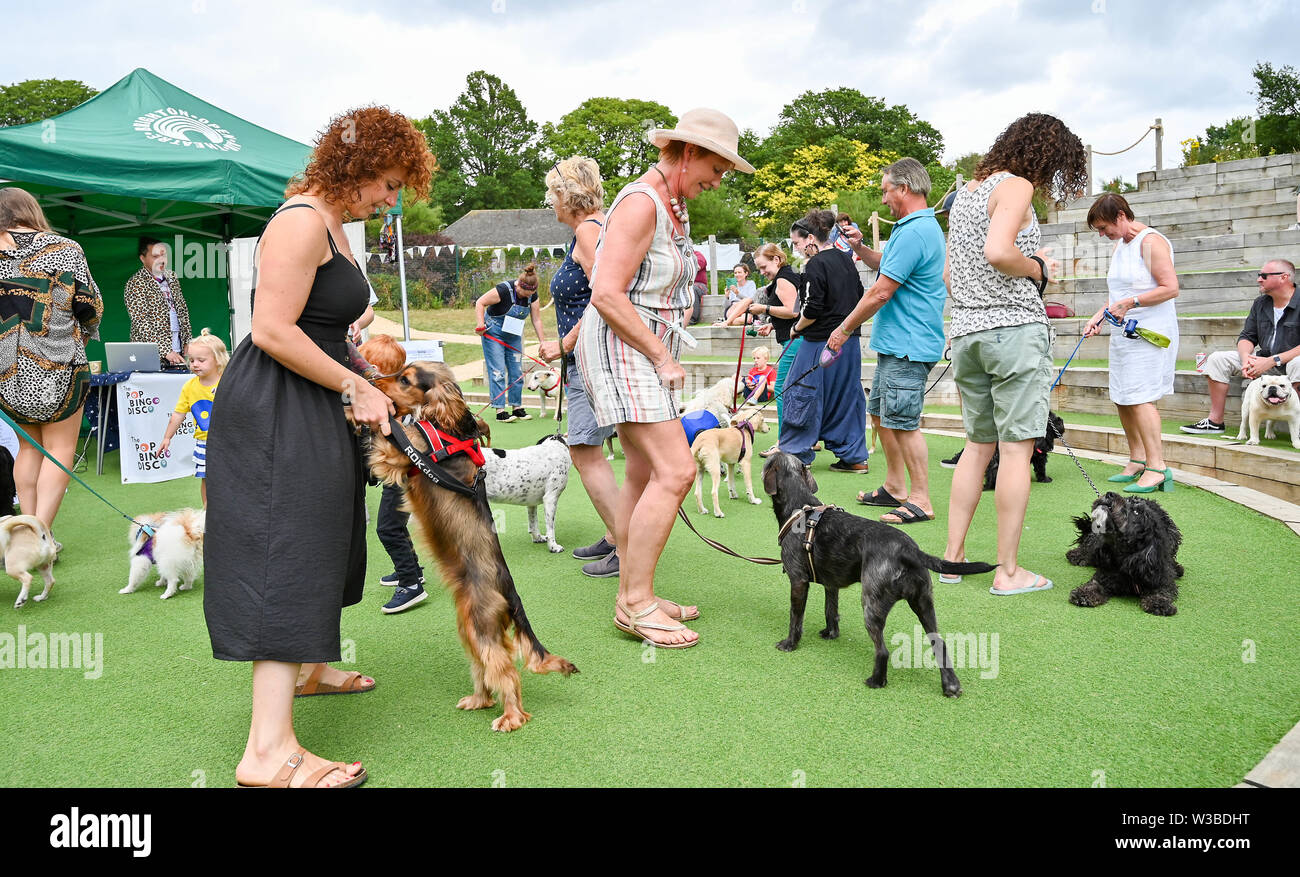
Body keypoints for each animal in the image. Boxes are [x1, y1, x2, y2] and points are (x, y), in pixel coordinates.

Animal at [759, 452, 993, 701]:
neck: (799, 505)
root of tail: (909, 550)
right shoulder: (831, 585)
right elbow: (831, 612)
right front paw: (831, 633)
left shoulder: (798, 582)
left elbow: (795, 618)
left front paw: (790, 643)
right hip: (924, 605)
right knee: (940, 643)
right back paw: (951, 686)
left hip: (871, 606)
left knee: (882, 651)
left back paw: (876, 681)